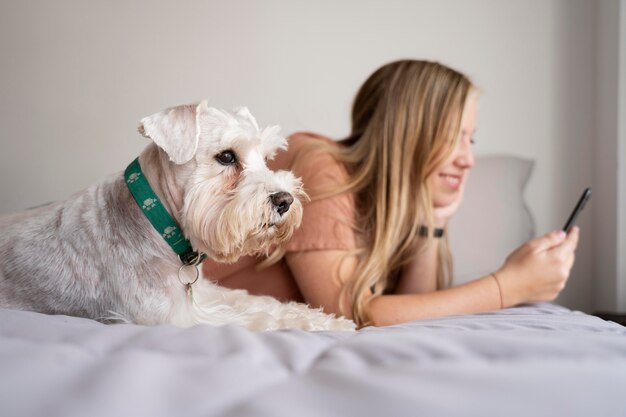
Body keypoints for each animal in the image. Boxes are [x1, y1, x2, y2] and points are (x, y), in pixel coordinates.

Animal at [0, 99, 354, 330]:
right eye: (226, 157)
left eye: (266, 158)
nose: (285, 201)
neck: (157, 224)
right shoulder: (173, 317)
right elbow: (260, 319)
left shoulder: (209, 294)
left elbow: (259, 301)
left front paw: (324, 318)